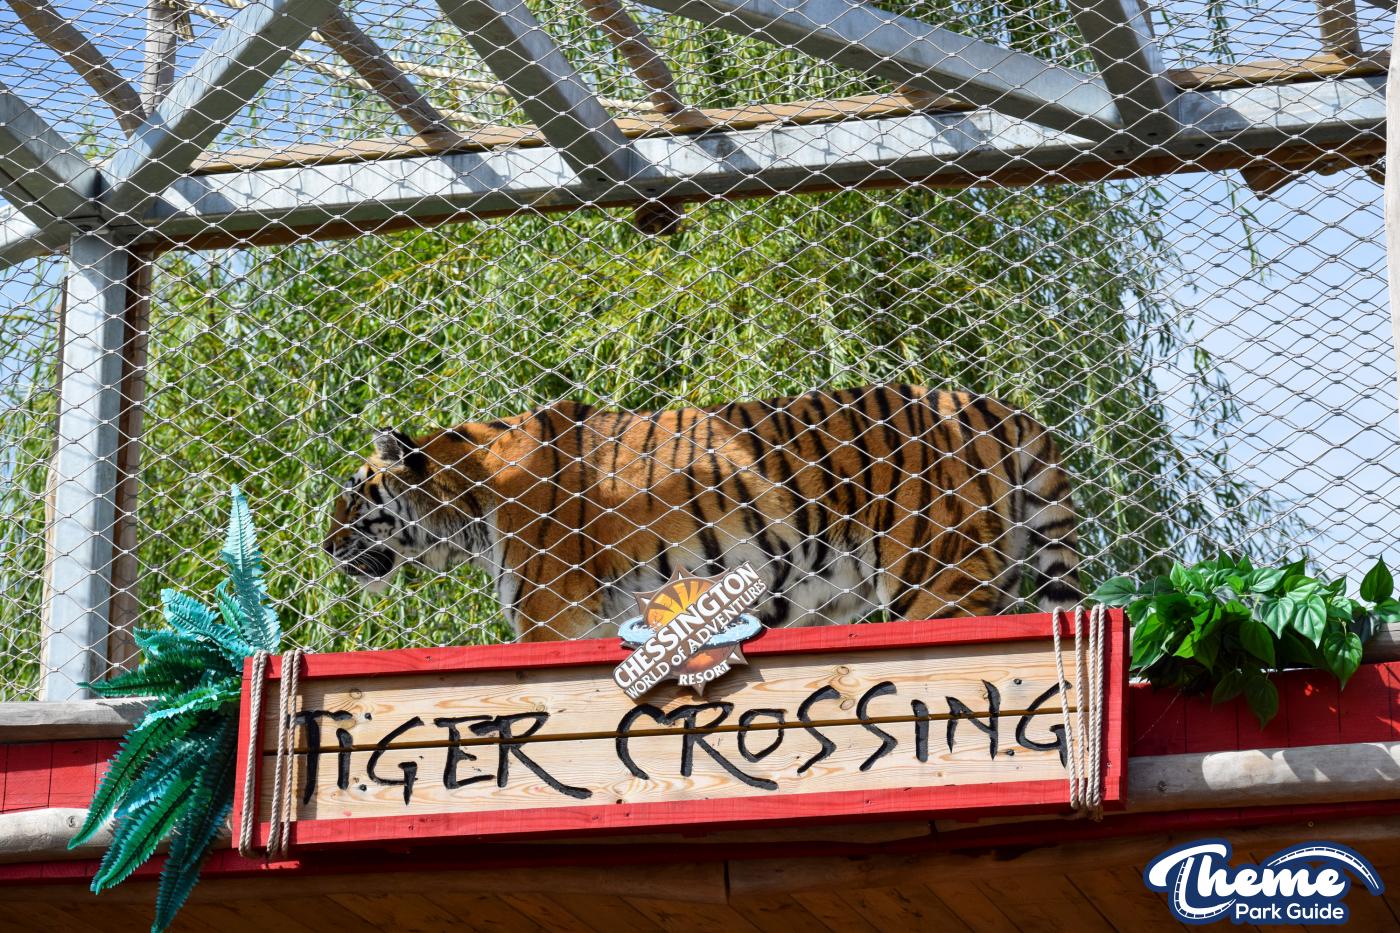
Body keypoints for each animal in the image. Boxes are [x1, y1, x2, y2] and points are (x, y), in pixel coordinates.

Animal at [324, 385, 1082, 642]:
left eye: (353, 498)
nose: (326, 548)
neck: (472, 505)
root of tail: (1000, 407)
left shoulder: (550, 619)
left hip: (936, 575)